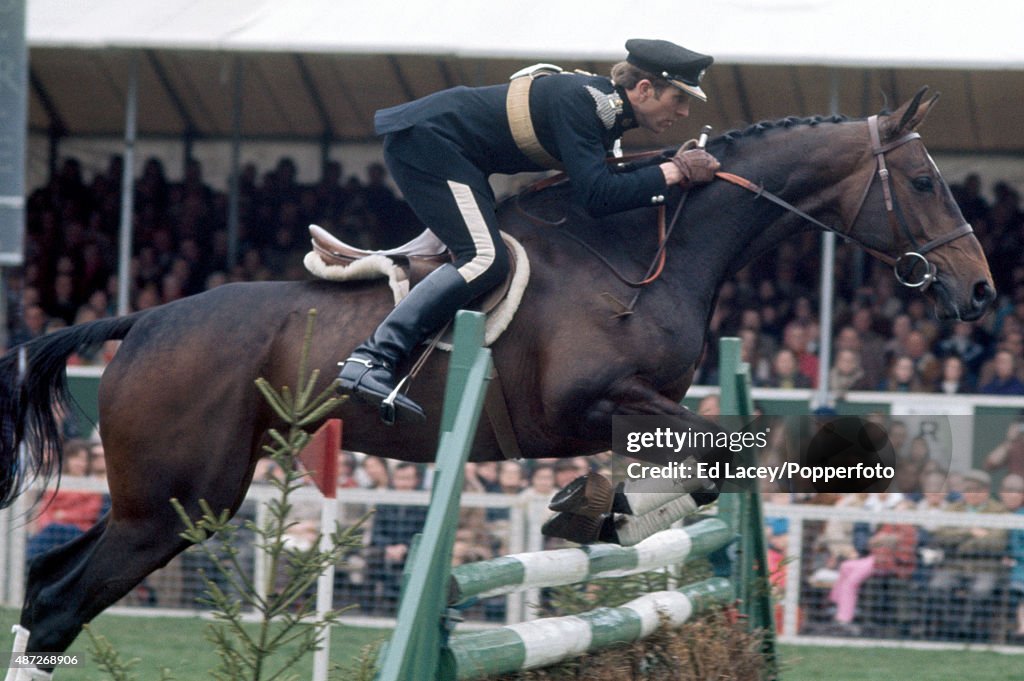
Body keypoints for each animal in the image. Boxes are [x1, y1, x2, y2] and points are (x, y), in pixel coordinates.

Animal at [0, 84, 991, 663]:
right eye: (927, 182)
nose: (980, 292)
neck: (645, 251)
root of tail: (143, 319)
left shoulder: (639, 408)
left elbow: (710, 464)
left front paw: (603, 510)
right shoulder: (590, 403)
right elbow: (718, 449)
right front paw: (602, 509)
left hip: (161, 503)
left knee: (51, 593)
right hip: (176, 501)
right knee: (58, 603)